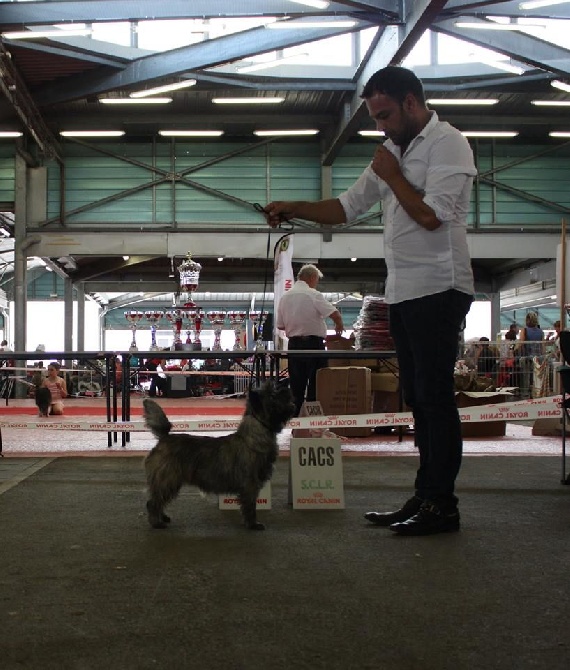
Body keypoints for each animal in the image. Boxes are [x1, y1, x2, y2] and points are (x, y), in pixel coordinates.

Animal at [143, 380, 292, 532]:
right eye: (272, 396)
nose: (286, 388)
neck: (253, 437)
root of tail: (164, 438)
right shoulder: (250, 484)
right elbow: (250, 507)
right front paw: (252, 524)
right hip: (167, 480)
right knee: (153, 502)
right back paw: (157, 523)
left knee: (159, 500)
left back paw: (163, 517)